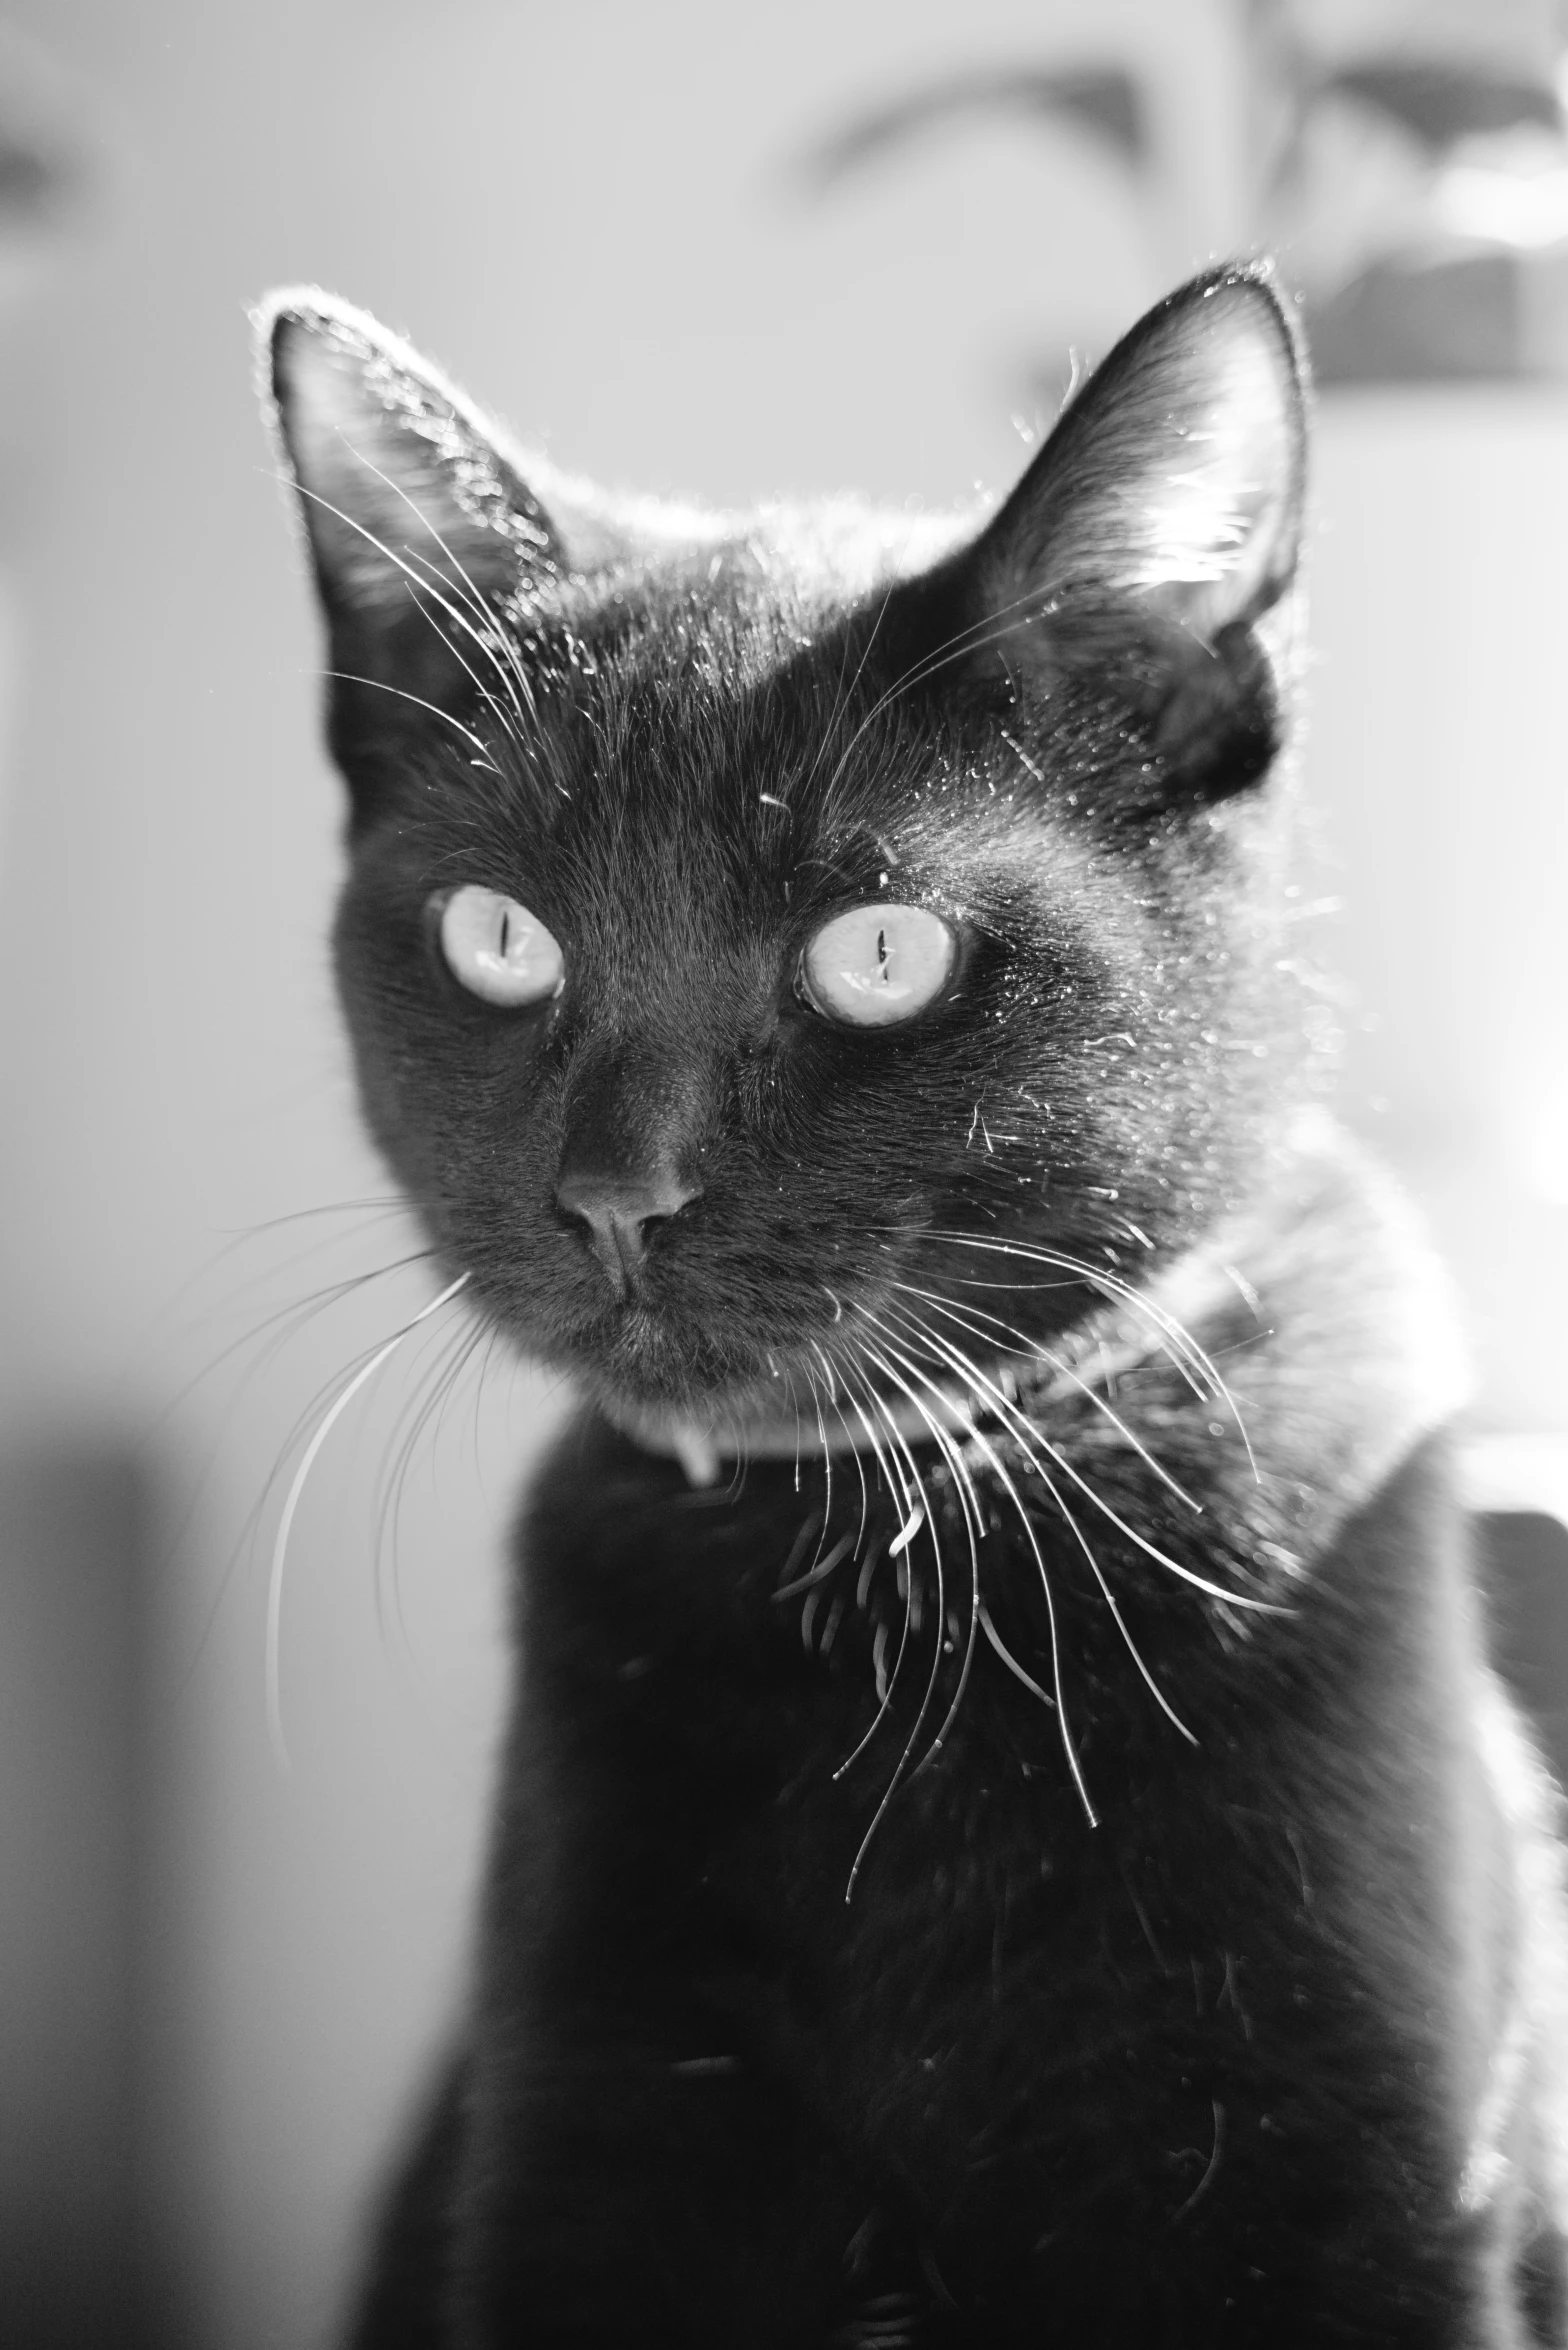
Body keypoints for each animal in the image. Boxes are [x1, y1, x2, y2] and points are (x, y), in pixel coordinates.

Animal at [266, 266, 1568, 2340]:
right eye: (498, 938)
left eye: (879, 954)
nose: (616, 1197)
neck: (883, 1575)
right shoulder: (593, 2151)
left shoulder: (1348, 2194)